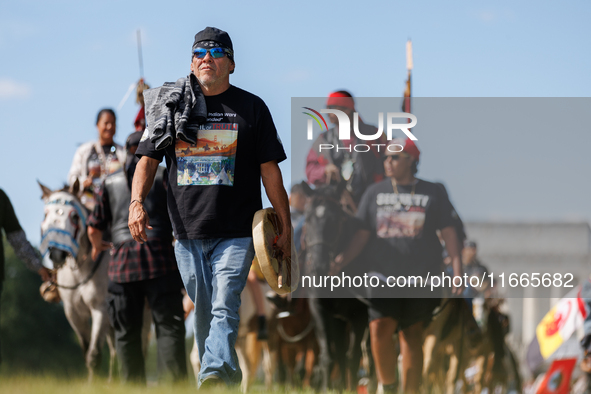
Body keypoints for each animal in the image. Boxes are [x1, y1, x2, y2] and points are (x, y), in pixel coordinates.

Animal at [38, 180, 116, 380]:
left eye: (73, 216)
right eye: (45, 214)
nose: (57, 253)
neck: (81, 270)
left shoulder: (101, 309)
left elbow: (94, 354)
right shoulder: (74, 312)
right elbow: (86, 350)